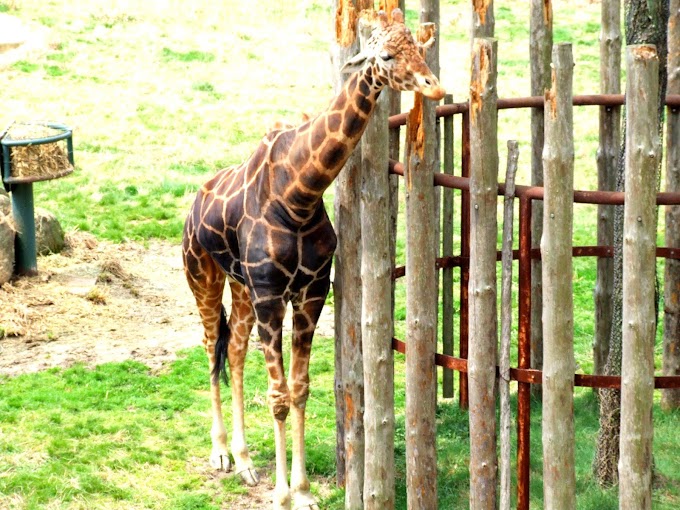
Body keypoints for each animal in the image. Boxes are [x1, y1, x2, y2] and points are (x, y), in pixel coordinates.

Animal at [183, 8, 444, 510]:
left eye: (420, 49)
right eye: (386, 55)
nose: (433, 85)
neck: (298, 194)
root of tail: (194, 201)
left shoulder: (310, 291)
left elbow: (300, 390)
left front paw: (302, 491)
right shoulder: (271, 296)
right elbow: (279, 395)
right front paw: (283, 495)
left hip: (241, 289)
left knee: (236, 350)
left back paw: (245, 461)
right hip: (202, 276)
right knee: (210, 347)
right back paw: (220, 453)